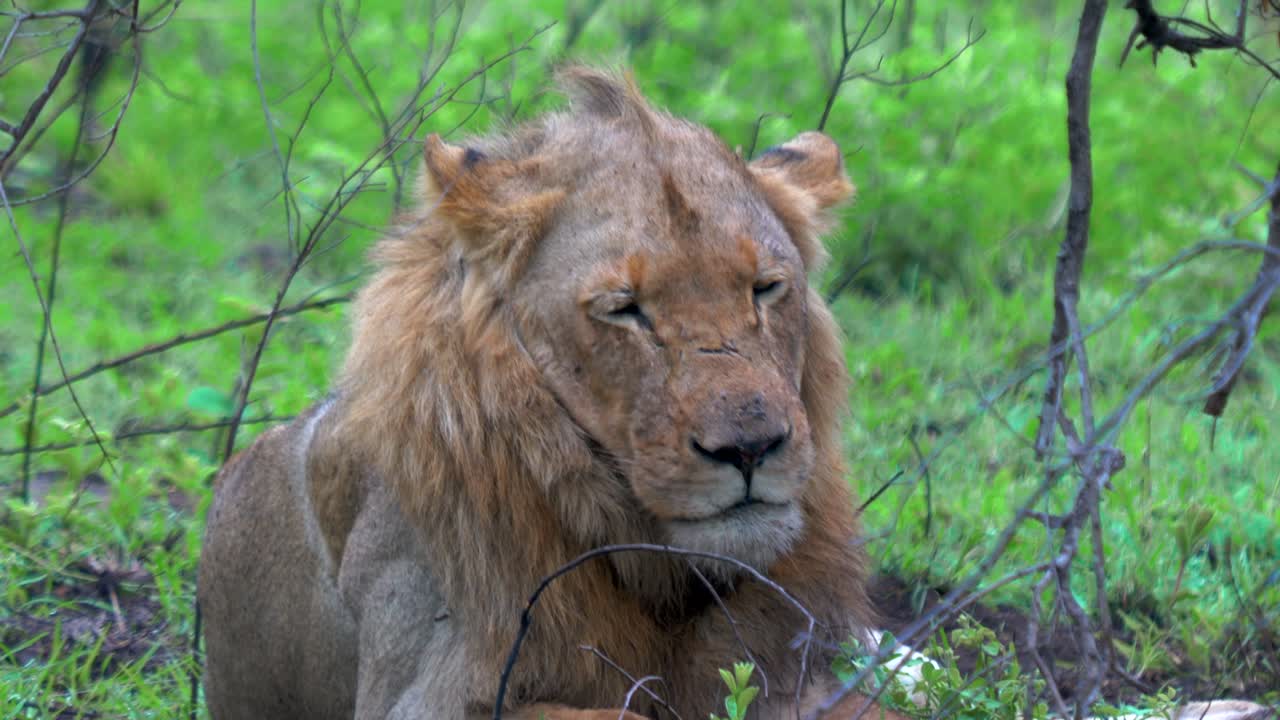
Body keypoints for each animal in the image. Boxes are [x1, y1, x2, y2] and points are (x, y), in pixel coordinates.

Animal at [197, 68, 1274, 720]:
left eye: (764, 288)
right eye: (623, 310)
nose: (751, 449)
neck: (655, 567)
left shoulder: (794, 662)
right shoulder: (423, 695)